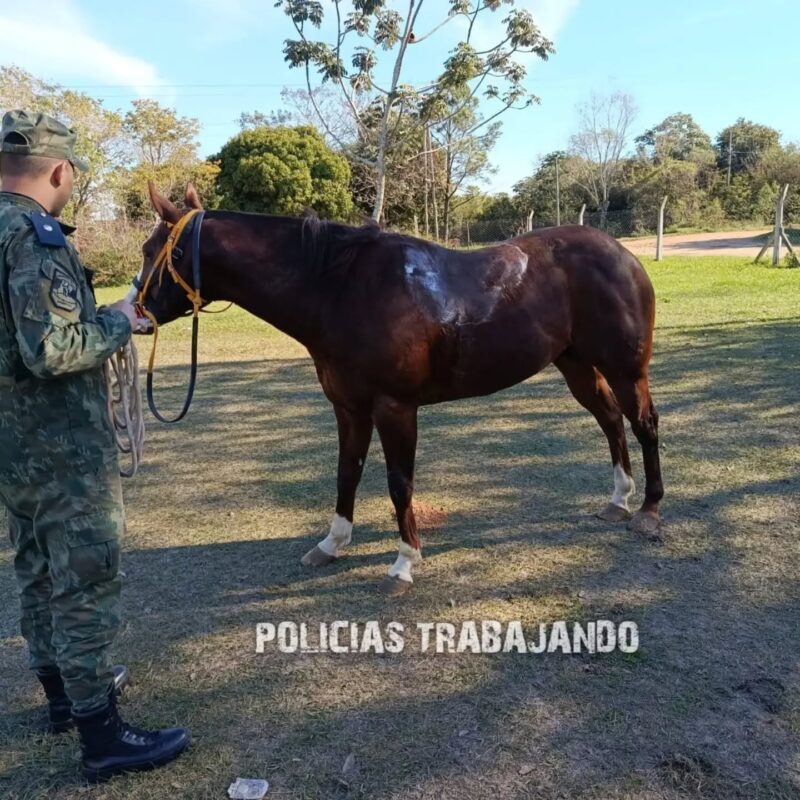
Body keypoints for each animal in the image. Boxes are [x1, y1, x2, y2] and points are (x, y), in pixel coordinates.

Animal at [136, 183, 663, 596]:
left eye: (150, 251)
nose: (136, 315)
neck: (341, 289)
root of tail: (623, 254)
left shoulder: (395, 408)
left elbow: (398, 482)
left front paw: (404, 562)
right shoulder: (349, 408)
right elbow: (346, 474)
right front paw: (331, 544)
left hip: (625, 369)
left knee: (643, 424)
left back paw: (649, 510)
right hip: (575, 365)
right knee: (610, 420)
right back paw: (618, 501)